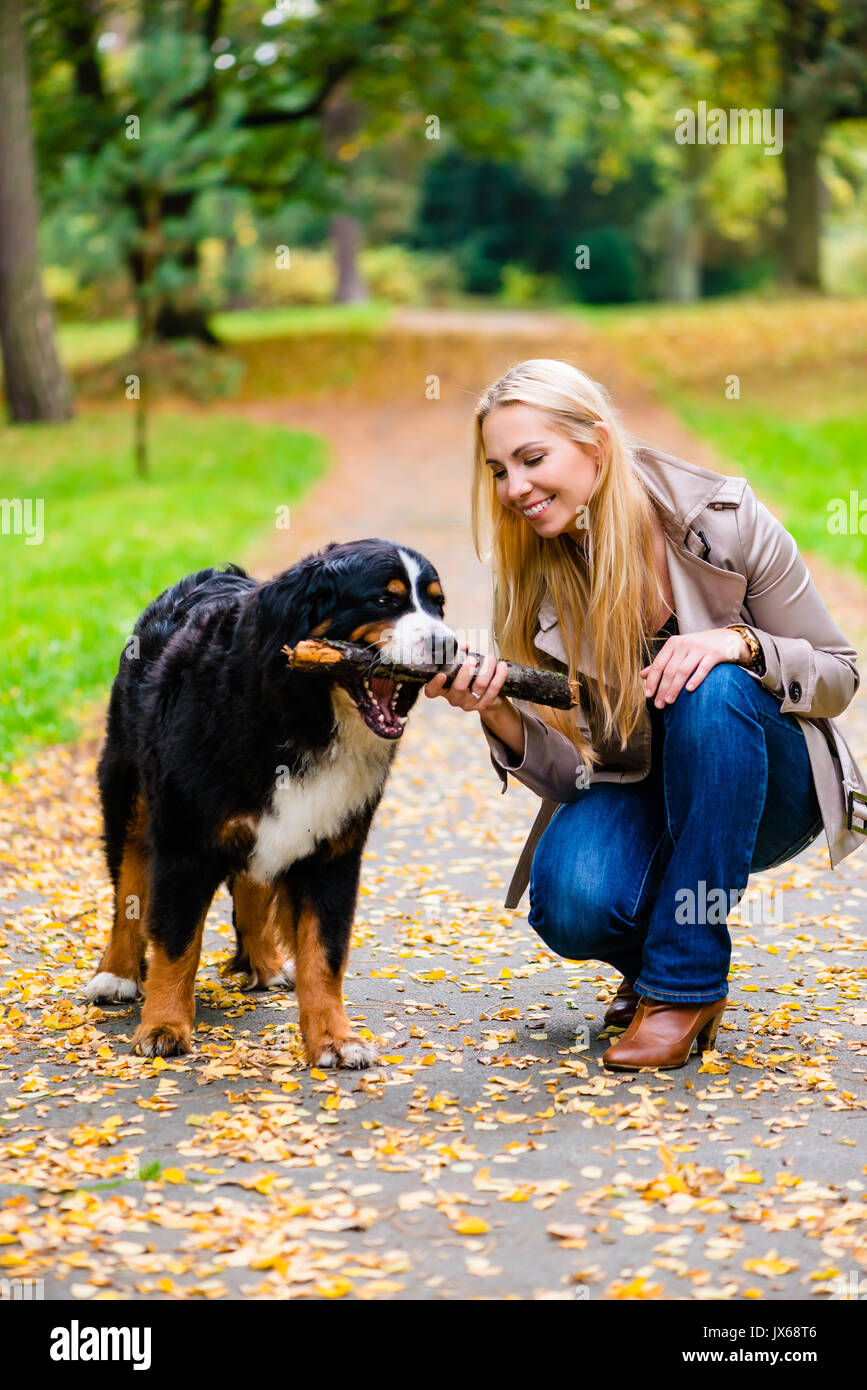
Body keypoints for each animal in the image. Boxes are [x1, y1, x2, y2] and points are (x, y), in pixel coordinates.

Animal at [84, 536, 458, 1067]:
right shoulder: (185, 841)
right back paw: (116, 974)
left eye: (437, 604)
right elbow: (176, 943)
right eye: (384, 600)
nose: (450, 644)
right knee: (129, 888)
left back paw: (264, 962)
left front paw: (334, 1038)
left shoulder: (333, 852)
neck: (305, 716)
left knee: (252, 885)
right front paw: (164, 1027)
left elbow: (324, 955)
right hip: (129, 795)